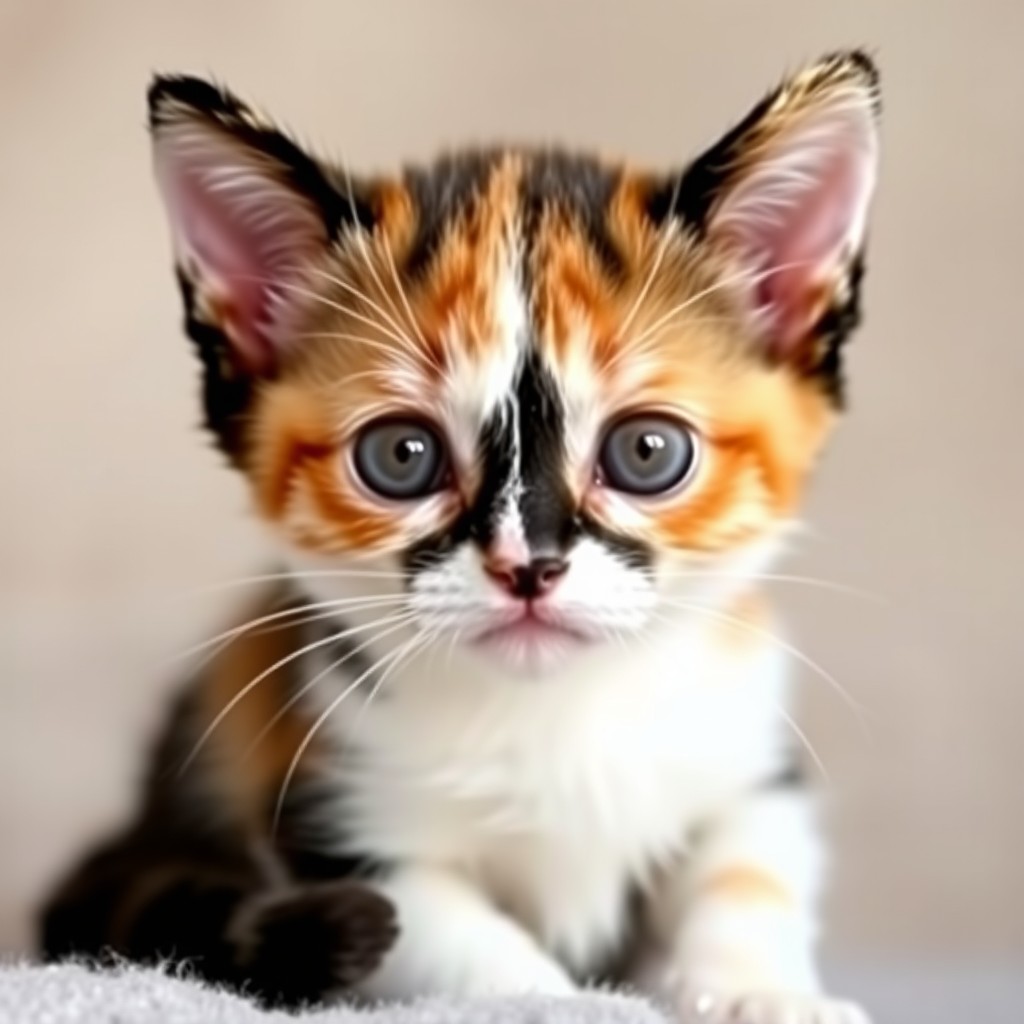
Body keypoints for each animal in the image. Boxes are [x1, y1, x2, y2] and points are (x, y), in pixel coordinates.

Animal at [39, 51, 880, 1019]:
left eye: (647, 451)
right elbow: (449, 935)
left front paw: (760, 989)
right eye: (401, 456)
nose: (528, 565)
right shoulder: (337, 807)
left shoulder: (749, 755)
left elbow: (749, 867)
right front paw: (561, 1001)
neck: (555, 715)